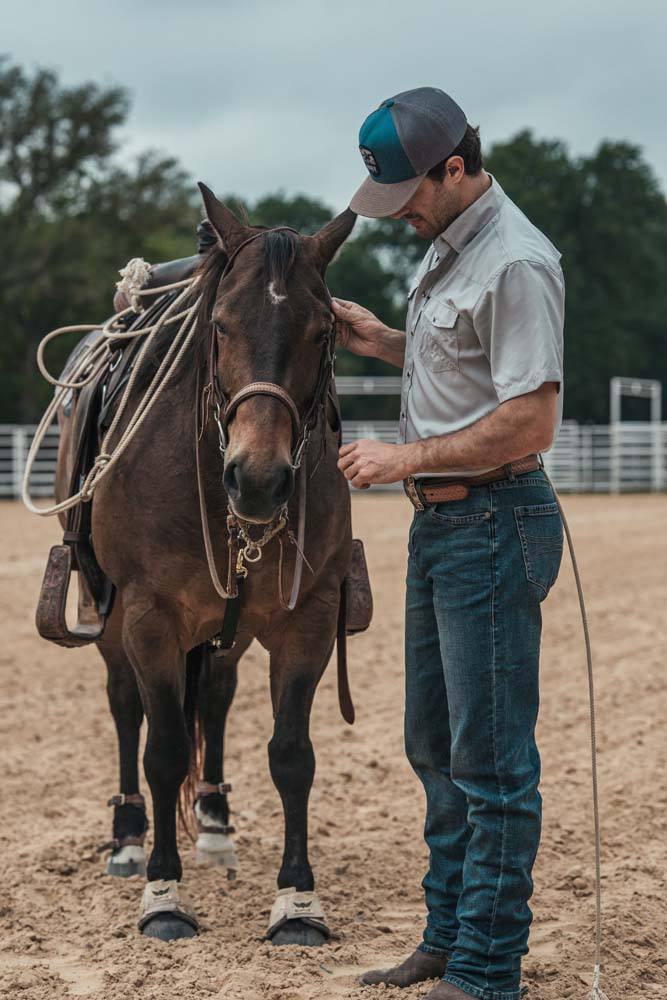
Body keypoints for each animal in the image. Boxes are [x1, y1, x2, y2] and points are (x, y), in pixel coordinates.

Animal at [52, 188, 358, 944]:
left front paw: (297, 902)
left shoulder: (307, 620)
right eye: (219, 327)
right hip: (108, 619)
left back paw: (215, 822)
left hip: (229, 632)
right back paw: (129, 834)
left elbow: (292, 755)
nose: (259, 479)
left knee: (215, 697)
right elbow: (161, 750)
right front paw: (164, 895)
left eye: (322, 332)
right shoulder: (147, 617)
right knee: (126, 708)